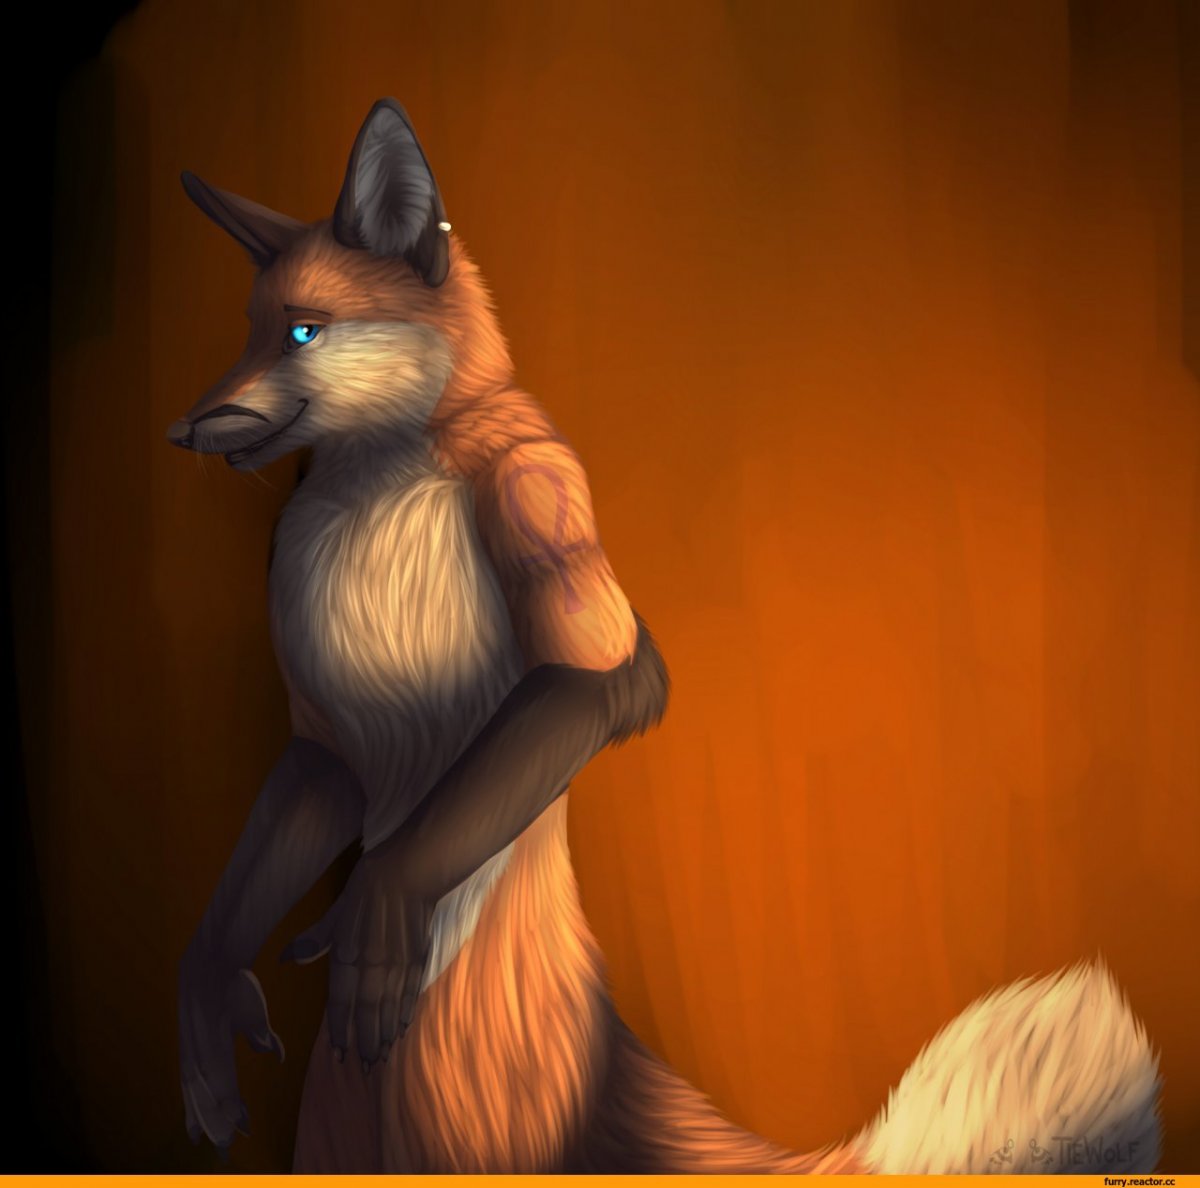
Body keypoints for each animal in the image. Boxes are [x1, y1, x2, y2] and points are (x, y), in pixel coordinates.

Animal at [169, 98, 1163, 1174]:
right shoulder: (323, 744)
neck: (374, 497)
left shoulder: (549, 516)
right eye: (251, 334)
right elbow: (282, 831)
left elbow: (604, 687)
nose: (184, 431)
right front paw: (211, 991)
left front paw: (377, 904)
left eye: (304, 331)